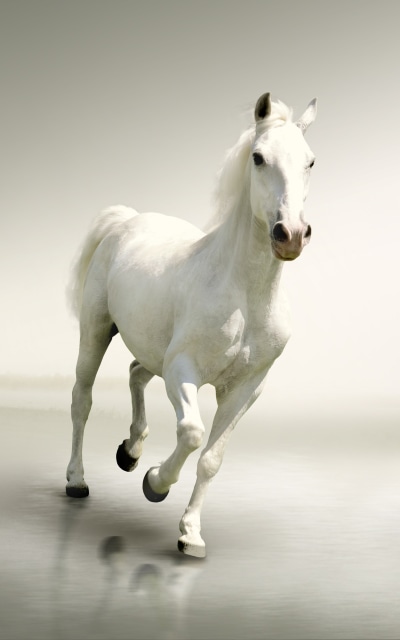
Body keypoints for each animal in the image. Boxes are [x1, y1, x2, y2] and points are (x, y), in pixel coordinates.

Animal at [66, 92, 317, 558]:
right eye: (258, 157)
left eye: (310, 161)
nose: (290, 234)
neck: (244, 296)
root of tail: (126, 220)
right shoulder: (183, 371)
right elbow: (192, 433)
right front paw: (155, 484)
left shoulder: (245, 389)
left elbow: (212, 459)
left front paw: (191, 535)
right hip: (95, 331)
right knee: (82, 399)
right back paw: (77, 480)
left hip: (152, 350)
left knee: (135, 372)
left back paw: (130, 451)